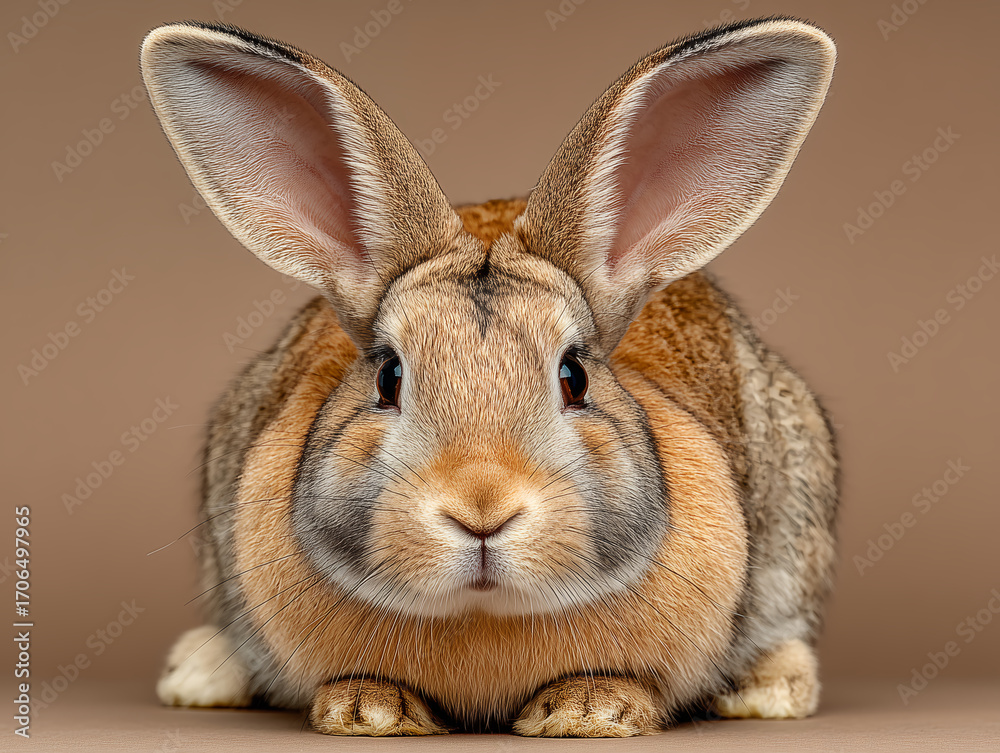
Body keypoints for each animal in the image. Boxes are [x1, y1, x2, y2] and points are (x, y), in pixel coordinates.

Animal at [142, 16, 839, 737]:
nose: (482, 509)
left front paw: (589, 710)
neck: (483, 611)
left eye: (573, 376)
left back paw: (769, 691)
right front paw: (369, 710)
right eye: (389, 377)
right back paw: (198, 674)